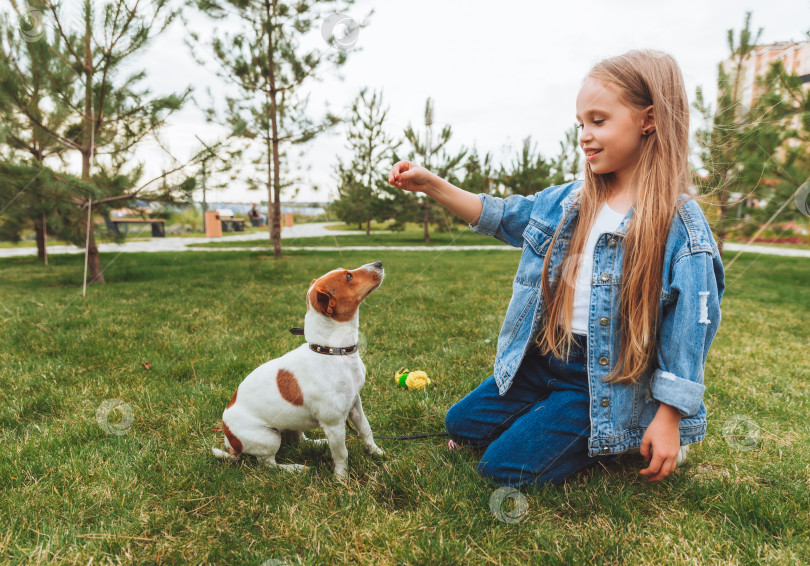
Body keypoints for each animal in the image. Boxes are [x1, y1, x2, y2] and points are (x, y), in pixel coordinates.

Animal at [210, 262, 384, 480]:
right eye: (349, 277)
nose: (379, 263)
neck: (331, 351)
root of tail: (231, 441)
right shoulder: (334, 423)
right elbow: (341, 454)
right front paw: (341, 479)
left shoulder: (355, 406)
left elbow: (366, 431)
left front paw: (376, 452)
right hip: (269, 437)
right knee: (269, 464)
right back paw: (296, 468)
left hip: (292, 423)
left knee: (299, 440)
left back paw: (317, 444)